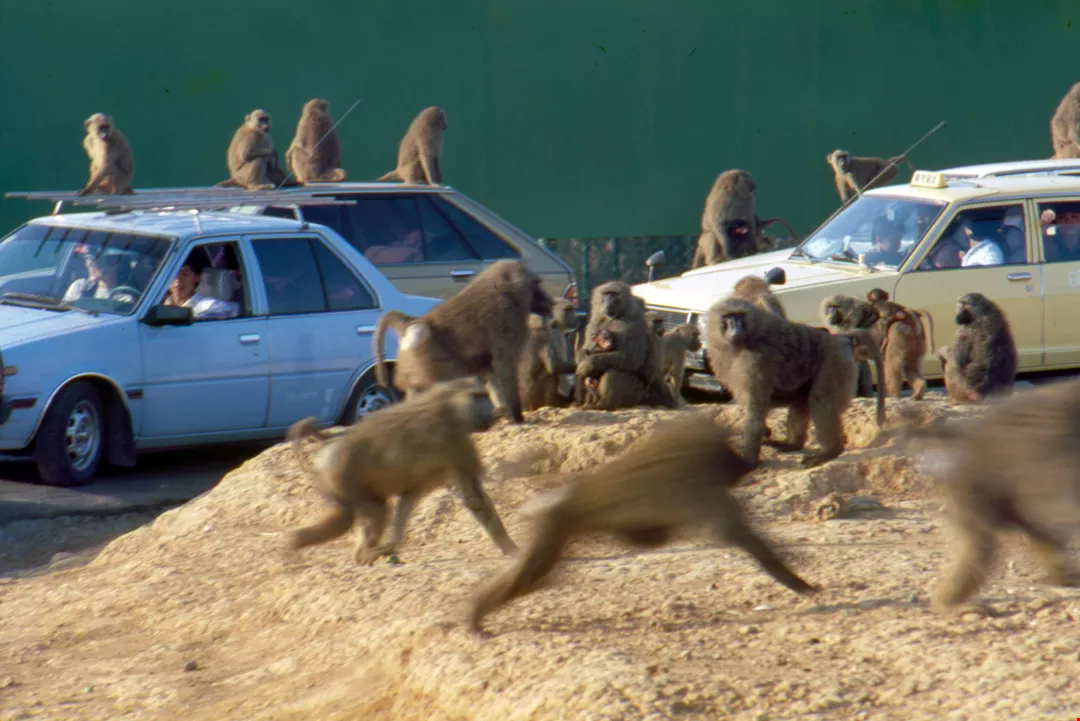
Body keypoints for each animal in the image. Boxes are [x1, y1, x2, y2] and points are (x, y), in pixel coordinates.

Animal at [285, 377, 517, 565]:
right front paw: (512, 549)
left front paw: (392, 545)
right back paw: (300, 545)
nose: (496, 410)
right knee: (359, 515)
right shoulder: (454, 444)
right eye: (479, 396)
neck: (448, 406)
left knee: (362, 513)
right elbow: (475, 499)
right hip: (341, 475)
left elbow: (408, 499)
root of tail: (334, 438)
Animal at [373, 260, 553, 424]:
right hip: (430, 362)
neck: (504, 292)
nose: (550, 301)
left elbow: (492, 376)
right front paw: (517, 417)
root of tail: (414, 322)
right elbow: (505, 370)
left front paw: (504, 412)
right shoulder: (508, 324)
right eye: (536, 285)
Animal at [466, 418, 818, 633]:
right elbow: (739, 536)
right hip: (559, 522)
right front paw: (797, 579)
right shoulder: (703, 492)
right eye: (730, 460)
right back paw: (478, 612)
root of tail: (567, 498)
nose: (745, 467)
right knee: (534, 570)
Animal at [574, 282, 652, 410]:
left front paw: (587, 364)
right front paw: (583, 360)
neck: (615, 317)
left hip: (634, 394)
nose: (608, 301)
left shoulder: (634, 322)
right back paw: (585, 403)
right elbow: (586, 349)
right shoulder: (595, 321)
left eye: (614, 294)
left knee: (614, 370)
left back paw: (604, 405)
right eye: (606, 294)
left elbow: (630, 358)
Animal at [705, 298, 886, 468]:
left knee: (819, 399)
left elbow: (756, 410)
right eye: (728, 317)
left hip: (835, 359)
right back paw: (792, 445)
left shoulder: (754, 361)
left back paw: (830, 451)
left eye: (739, 316)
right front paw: (765, 433)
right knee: (801, 400)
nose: (736, 329)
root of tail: (838, 338)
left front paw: (748, 462)